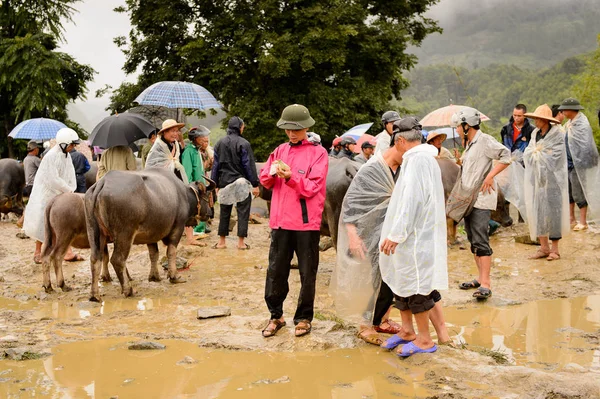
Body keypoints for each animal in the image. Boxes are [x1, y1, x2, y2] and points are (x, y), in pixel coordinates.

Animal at [84, 169, 216, 304]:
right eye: (207, 195)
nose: (210, 213)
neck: (183, 195)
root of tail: (103, 182)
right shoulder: (178, 228)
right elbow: (171, 252)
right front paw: (174, 276)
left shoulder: (151, 235)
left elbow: (154, 254)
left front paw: (154, 276)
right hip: (124, 235)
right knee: (118, 260)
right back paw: (128, 290)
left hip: (94, 231)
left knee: (95, 259)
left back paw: (95, 295)